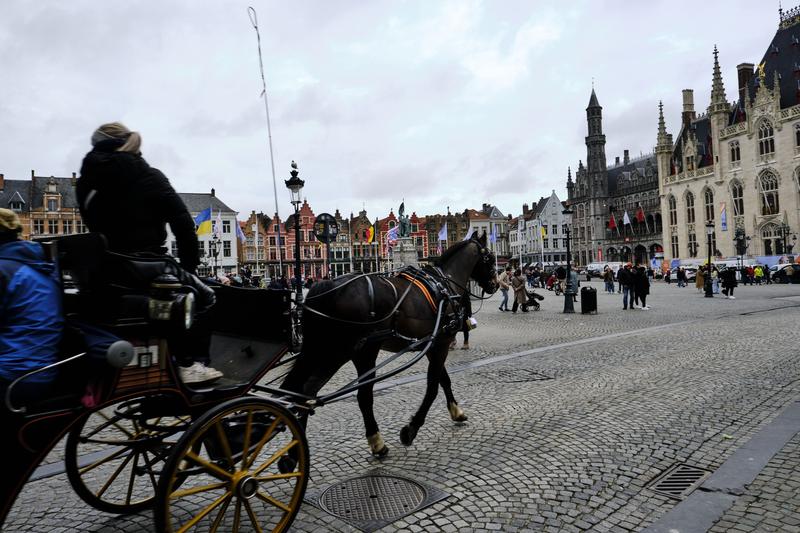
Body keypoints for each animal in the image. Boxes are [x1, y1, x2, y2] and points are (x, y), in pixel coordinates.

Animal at [278, 235, 496, 456]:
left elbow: (444, 380)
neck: (444, 283)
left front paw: (457, 412)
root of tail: (328, 288)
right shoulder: (441, 343)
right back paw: (377, 442)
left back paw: (294, 450)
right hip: (354, 352)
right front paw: (411, 430)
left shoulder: (433, 344)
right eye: (490, 257)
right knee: (359, 396)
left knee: (305, 393)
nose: (495, 284)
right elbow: (433, 387)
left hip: (331, 352)